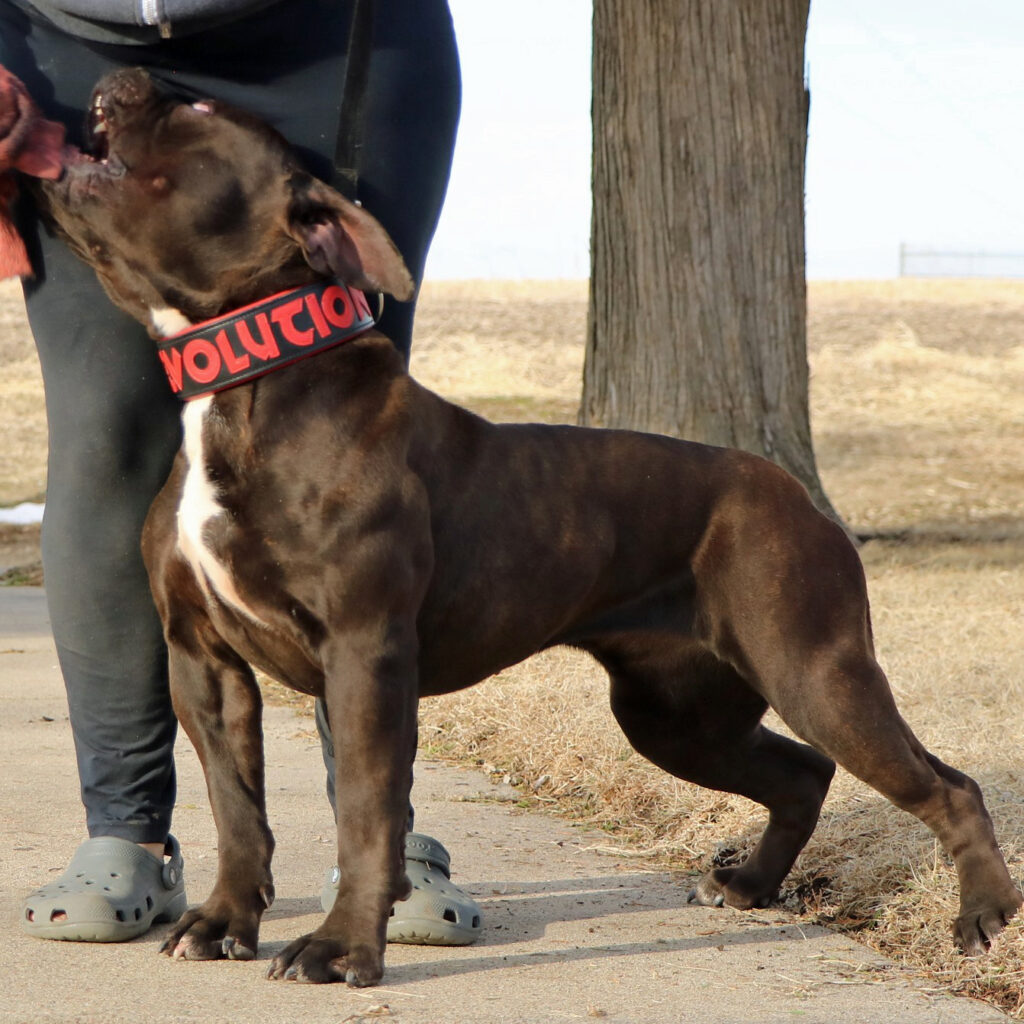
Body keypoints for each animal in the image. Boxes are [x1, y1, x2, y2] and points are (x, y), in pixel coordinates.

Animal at [34, 70, 1024, 983]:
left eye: (198, 111)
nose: (124, 75)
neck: (247, 383)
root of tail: (797, 494)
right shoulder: (204, 660)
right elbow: (237, 807)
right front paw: (223, 921)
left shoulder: (363, 655)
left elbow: (365, 812)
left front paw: (343, 948)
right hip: (674, 714)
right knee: (804, 774)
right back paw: (749, 885)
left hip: (816, 671)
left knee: (948, 786)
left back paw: (982, 917)